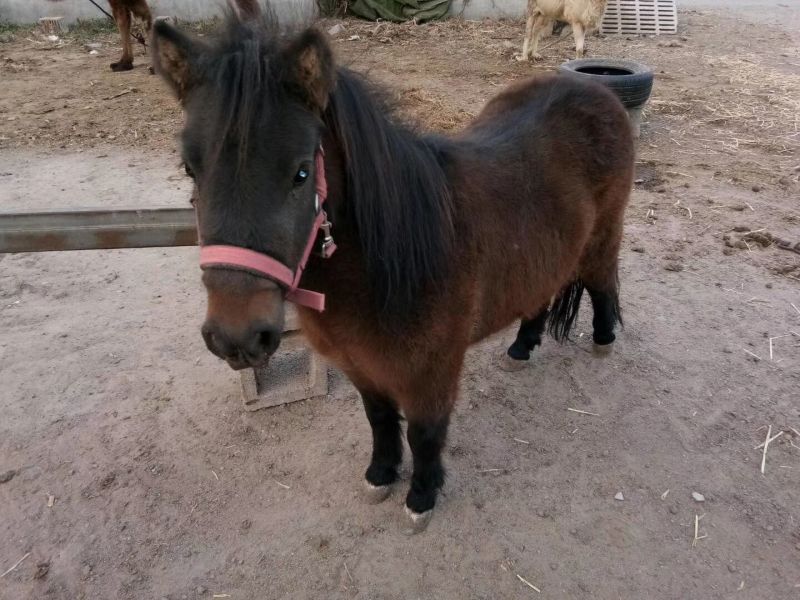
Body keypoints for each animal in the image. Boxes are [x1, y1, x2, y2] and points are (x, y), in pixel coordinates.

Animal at [151, 4, 634, 532]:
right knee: (539, 295)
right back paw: (522, 347)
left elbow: (425, 434)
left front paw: (421, 496)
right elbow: (379, 419)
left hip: (603, 239)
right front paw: (380, 476)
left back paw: (604, 341)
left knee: (603, 284)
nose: (235, 337)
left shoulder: (432, 373)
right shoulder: (362, 365)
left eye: (301, 172)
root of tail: (594, 90)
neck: (384, 265)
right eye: (189, 169)